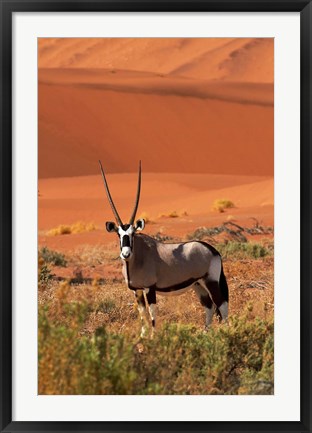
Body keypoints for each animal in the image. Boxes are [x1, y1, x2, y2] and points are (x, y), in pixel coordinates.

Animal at [100, 160, 229, 336]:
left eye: (132, 233)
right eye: (118, 234)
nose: (125, 254)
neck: (138, 257)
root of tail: (213, 250)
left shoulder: (150, 288)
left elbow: (153, 313)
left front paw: (153, 337)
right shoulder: (137, 290)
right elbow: (143, 315)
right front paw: (142, 337)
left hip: (211, 281)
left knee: (222, 305)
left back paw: (227, 332)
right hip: (198, 285)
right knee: (209, 306)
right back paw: (205, 333)